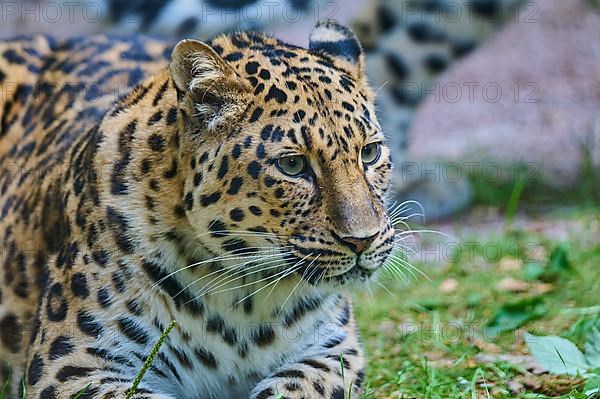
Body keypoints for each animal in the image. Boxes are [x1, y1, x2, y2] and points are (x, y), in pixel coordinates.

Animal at [0, 20, 396, 398]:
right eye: (293, 165)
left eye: (370, 153)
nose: (363, 240)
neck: (241, 293)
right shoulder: (71, 364)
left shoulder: (331, 349)